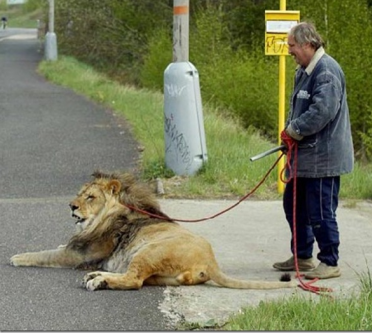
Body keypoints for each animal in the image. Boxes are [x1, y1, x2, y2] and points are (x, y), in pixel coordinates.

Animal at [9, 170, 296, 290]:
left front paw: (16, 257)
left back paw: (98, 281)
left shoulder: (79, 254)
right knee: (136, 278)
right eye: (80, 194)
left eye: (90, 197)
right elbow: (55, 247)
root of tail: (210, 262)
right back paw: (97, 276)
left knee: (134, 281)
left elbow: (43, 254)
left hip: (148, 252)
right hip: (162, 274)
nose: (71, 206)